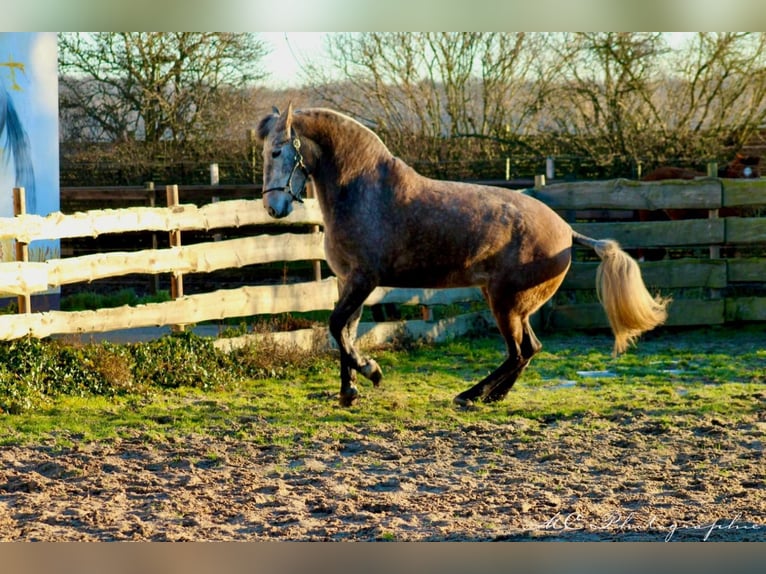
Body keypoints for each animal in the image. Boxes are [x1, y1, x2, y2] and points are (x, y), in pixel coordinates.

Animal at [258, 104, 672, 410]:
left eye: (278, 151)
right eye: (265, 153)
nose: (274, 207)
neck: (363, 192)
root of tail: (566, 231)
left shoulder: (364, 280)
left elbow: (336, 327)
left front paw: (371, 372)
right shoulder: (348, 282)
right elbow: (344, 332)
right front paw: (349, 391)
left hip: (505, 303)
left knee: (517, 352)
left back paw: (471, 395)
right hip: (514, 305)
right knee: (530, 349)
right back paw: (492, 396)